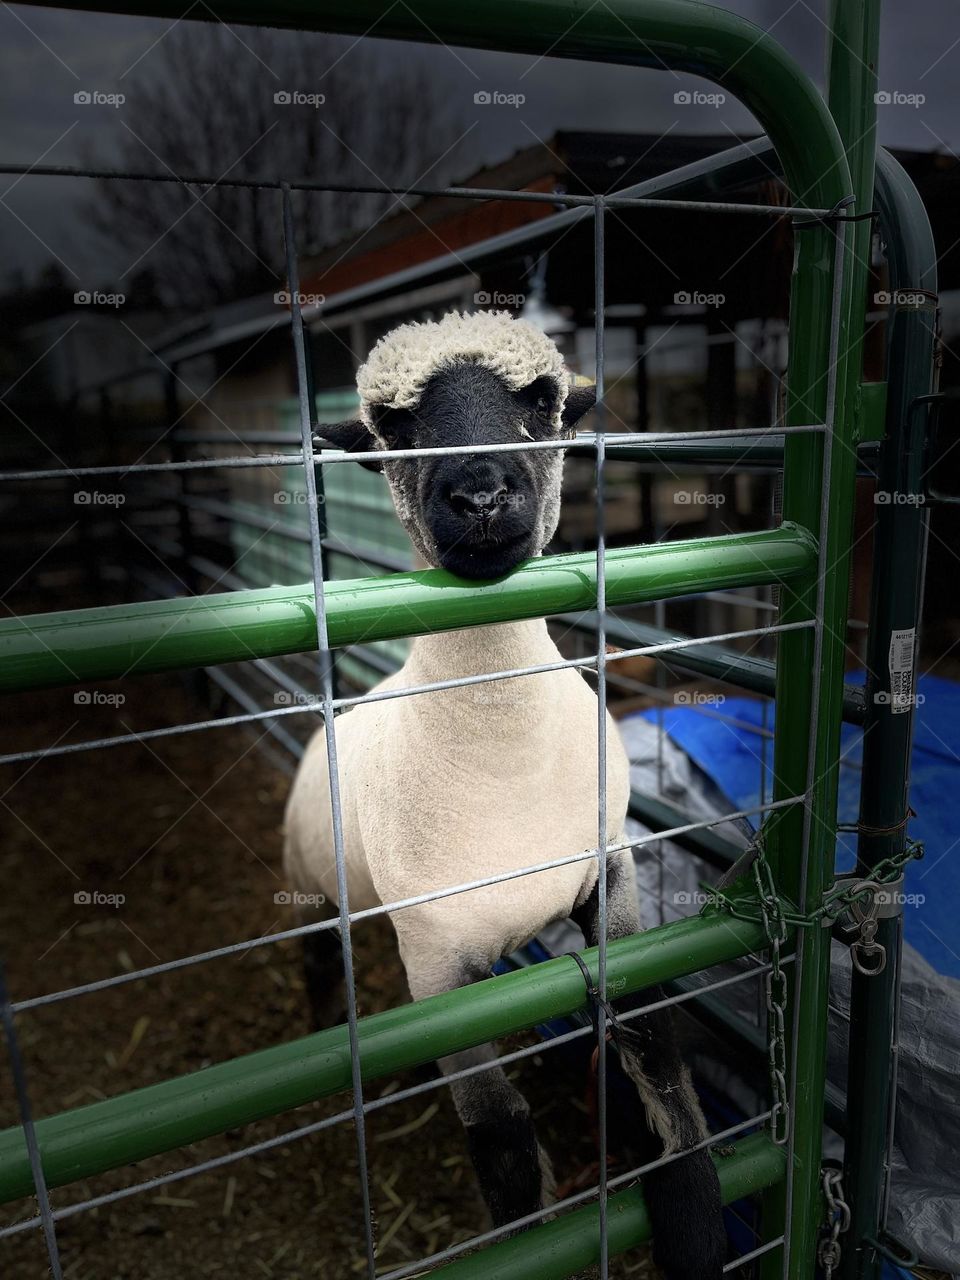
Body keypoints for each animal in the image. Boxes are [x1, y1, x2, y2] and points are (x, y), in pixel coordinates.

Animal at [283, 310, 726, 1278]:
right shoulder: (439, 960)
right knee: (318, 957)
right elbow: (502, 1139)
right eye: (390, 428)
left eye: (544, 404)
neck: (499, 752)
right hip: (310, 878)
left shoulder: (612, 876)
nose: (481, 495)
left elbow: (655, 1048)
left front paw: (693, 1225)